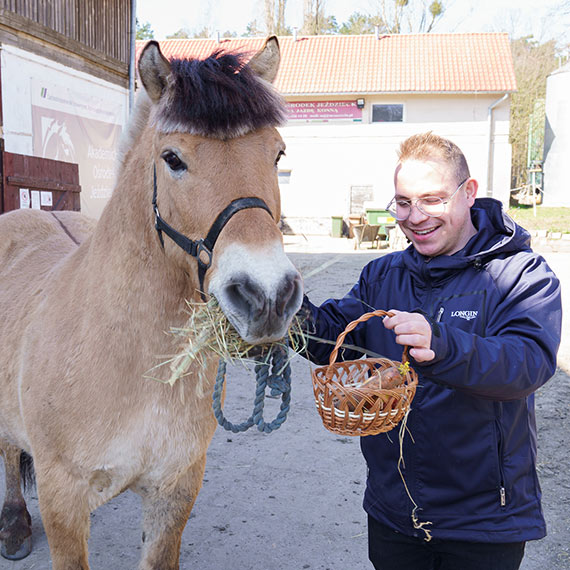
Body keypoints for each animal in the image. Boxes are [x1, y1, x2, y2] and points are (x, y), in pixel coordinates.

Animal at [0, 37, 302, 564]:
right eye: (173, 158)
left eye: (277, 153)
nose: (267, 295)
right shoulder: (63, 500)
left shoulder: (175, 489)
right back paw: (14, 521)